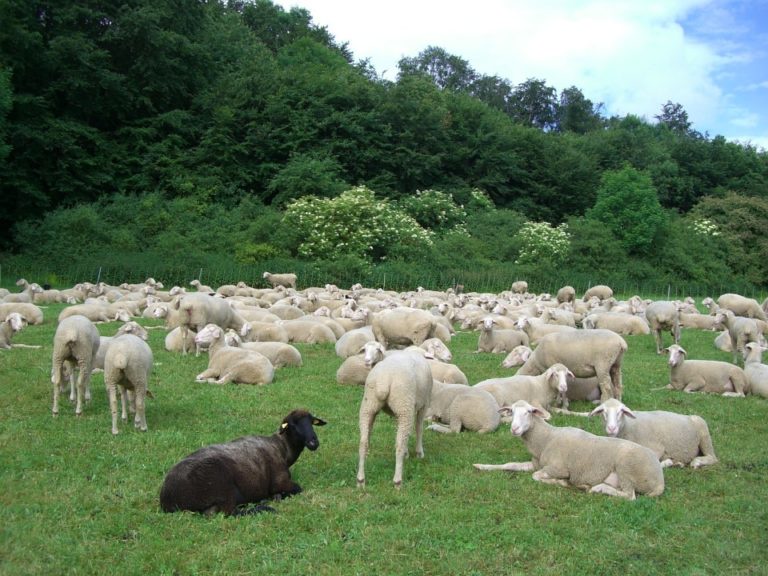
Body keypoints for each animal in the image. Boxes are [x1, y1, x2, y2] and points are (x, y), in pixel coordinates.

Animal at [159, 408, 328, 516]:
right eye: (293, 425)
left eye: (312, 422)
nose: (313, 442)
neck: (282, 448)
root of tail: (167, 498)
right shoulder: (280, 481)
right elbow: (298, 488)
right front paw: (276, 496)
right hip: (221, 486)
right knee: (225, 513)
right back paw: (263, 507)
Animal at [356, 348, 436, 488]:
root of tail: (384, 380)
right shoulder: (424, 404)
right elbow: (419, 428)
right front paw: (419, 453)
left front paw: (407, 453)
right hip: (404, 404)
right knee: (399, 444)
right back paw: (398, 481)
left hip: (369, 405)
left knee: (363, 442)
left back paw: (360, 480)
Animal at [472, 400, 664, 500]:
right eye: (511, 411)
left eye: (529, 412)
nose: (514, 429)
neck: (546, 438)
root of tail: (660, 480)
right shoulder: (536, 463)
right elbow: (509, 464)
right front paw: (481, 466)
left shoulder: (558, 468)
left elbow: (537, 476)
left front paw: (563, 483)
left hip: (626, 468)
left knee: (629, 495)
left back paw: (597, 488)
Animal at [588, 398, 720, 470]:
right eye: (603, 412)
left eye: (621, 411)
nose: (611, 428)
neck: (628, 427)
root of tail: (689, 416)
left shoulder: (657, 448)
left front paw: (667, 462)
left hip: (704, 435)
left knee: (712, 457)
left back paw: (696, 462)